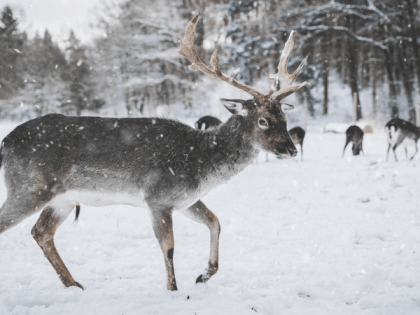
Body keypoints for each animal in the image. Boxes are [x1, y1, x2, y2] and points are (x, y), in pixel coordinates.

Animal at [0, 14, 308, 292]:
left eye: (285, 117)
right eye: (263, 121)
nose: (291, 149)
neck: (200, 162)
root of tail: (5, 143)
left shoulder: (184, 200)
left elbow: (216, 222)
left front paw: (203, 275)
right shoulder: (157, 196)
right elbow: (169, 247)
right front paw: (173, 290)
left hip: (61, 199)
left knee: (41, 232)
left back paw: (74, 284)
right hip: (29, 188)